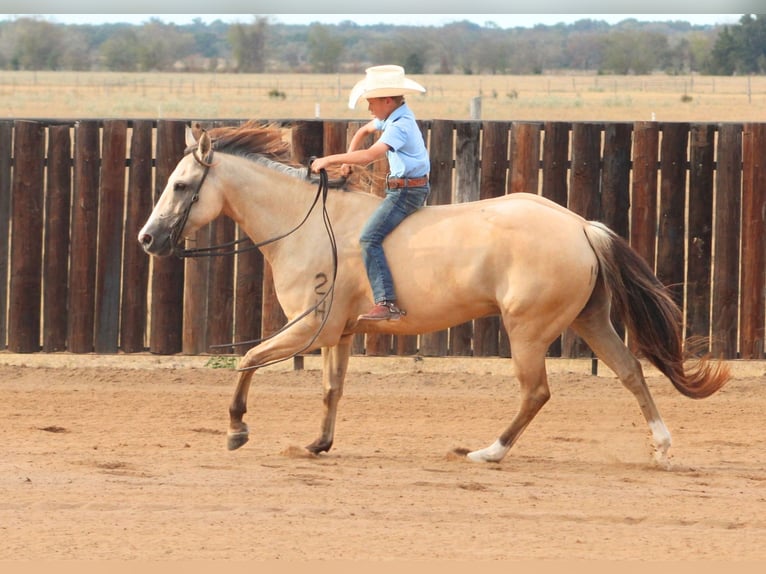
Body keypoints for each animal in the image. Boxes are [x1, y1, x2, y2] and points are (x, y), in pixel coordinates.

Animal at [138, 121, 729, 465]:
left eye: (182, 185)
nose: (148, 238)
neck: (307, 225)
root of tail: (582, 225)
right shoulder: (338, 335)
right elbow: (331, 389)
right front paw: (318, 444)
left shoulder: (308, 329)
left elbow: (248, 360)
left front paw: (237, 429)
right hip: (590, 319)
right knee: (630, 371)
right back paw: (661, 447)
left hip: (527, 331)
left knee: (536, 392)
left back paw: (489, 451)